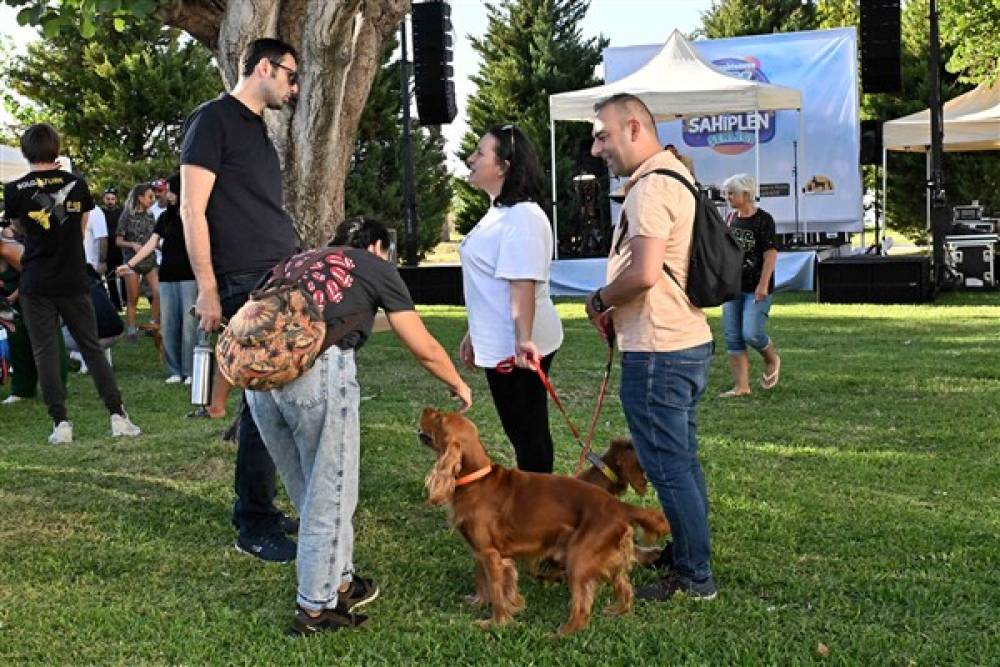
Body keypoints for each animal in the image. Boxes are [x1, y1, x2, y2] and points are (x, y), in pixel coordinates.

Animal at [418, 408, 668, 636]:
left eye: (440, 418)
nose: (426, 409)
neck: (476, 479)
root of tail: (618, 506)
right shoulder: (480, 552)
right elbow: (481, 580)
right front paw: (479, 602)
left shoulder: (491, 555)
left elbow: (497, 592)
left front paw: (496, 622)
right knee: (625, 587)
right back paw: (617, 611)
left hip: (579, 558)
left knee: (582, 608)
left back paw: (561, 634)